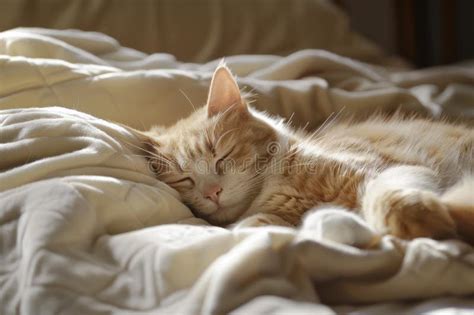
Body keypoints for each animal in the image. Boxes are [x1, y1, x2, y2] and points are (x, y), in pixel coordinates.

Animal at [141, 65, 474, 243]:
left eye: (222, 155)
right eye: (184, 179)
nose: (212, 192)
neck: (277, 186)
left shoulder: (384, 169)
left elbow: (387, 197)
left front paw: (420, 220)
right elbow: (256, 227)